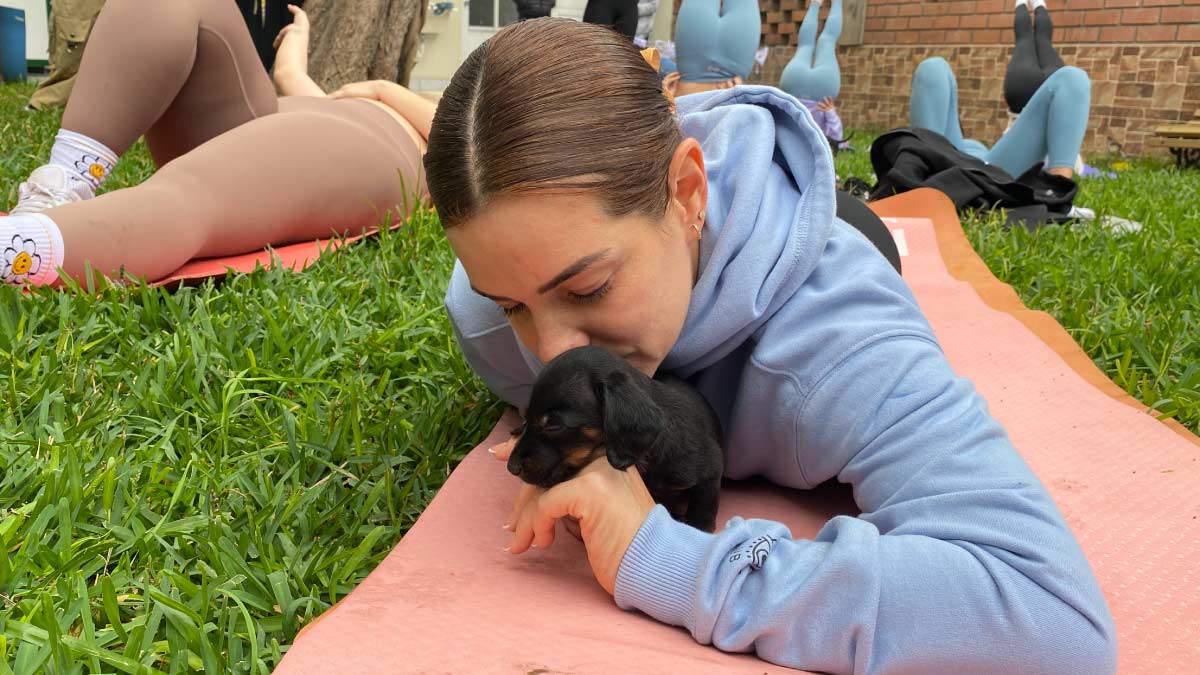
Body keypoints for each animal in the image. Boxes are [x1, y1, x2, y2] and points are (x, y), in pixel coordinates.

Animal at [506, 345, 720, 530]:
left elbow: (703, 509)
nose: (512, 468)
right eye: (525, 417)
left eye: (553, 426)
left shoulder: (710, 474)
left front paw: (698, 526)